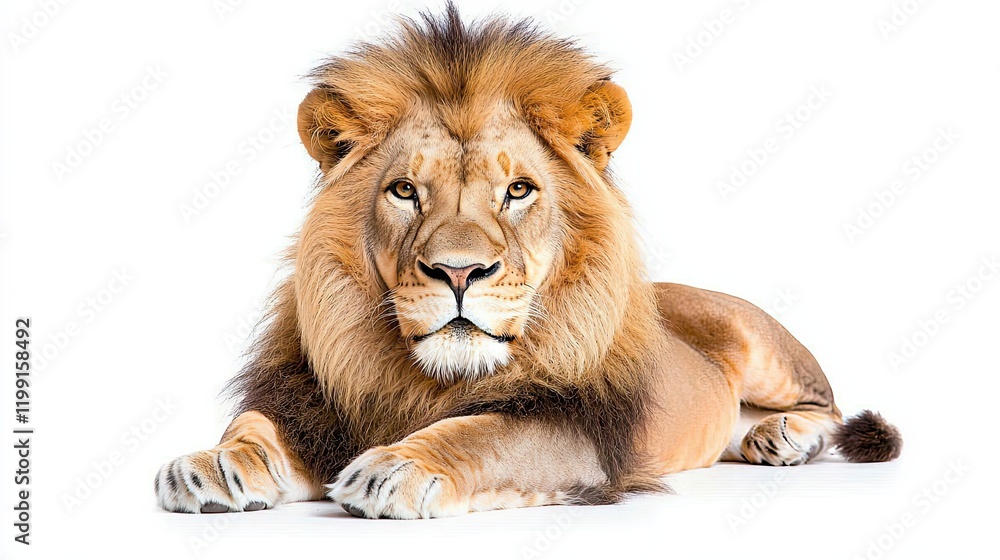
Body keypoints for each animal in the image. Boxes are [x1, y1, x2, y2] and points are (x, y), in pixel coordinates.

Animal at [155, 5, 901, 518]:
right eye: (405, 191)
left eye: (518, 190)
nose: (458, 273)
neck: (423, 381)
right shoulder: (312, 401)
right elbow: (254, 425)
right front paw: (212, 464)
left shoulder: (575, 432)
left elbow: (482, 433)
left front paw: (395, 467)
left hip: (759, 340)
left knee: (828, 402)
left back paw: (787, 435)